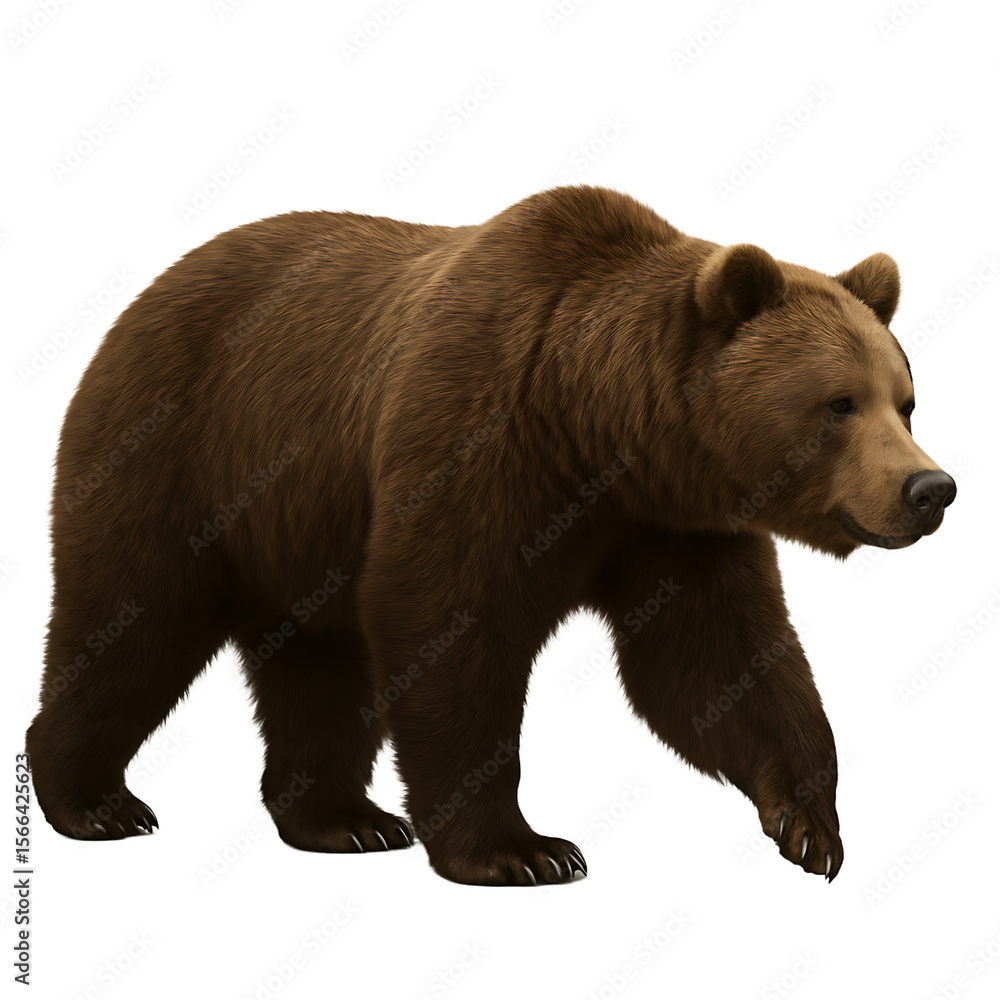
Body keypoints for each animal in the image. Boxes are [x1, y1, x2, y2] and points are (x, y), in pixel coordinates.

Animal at [26, 184, 956, 886]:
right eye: (838, 403)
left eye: (905, 401)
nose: (931, 489)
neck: (600, 429)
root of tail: (146, 292)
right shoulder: (477, 438)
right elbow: (448, 627)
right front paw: (525, 850)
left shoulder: (674, 525)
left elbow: (714, 660)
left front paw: (809, 824)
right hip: (179, 450)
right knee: (133, 618)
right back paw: (94, 802)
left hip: (301, 525)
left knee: (318, 661)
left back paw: (344, 821)